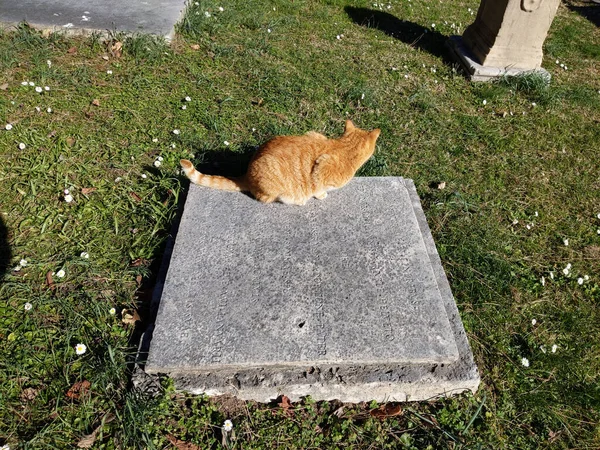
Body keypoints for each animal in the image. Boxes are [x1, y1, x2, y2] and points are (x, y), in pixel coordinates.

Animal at [180, 118, 382, 205]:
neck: (344, 147)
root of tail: (246, 174)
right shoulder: (322, 170)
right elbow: (318, 187)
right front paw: (321, 195)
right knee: (263, 198)